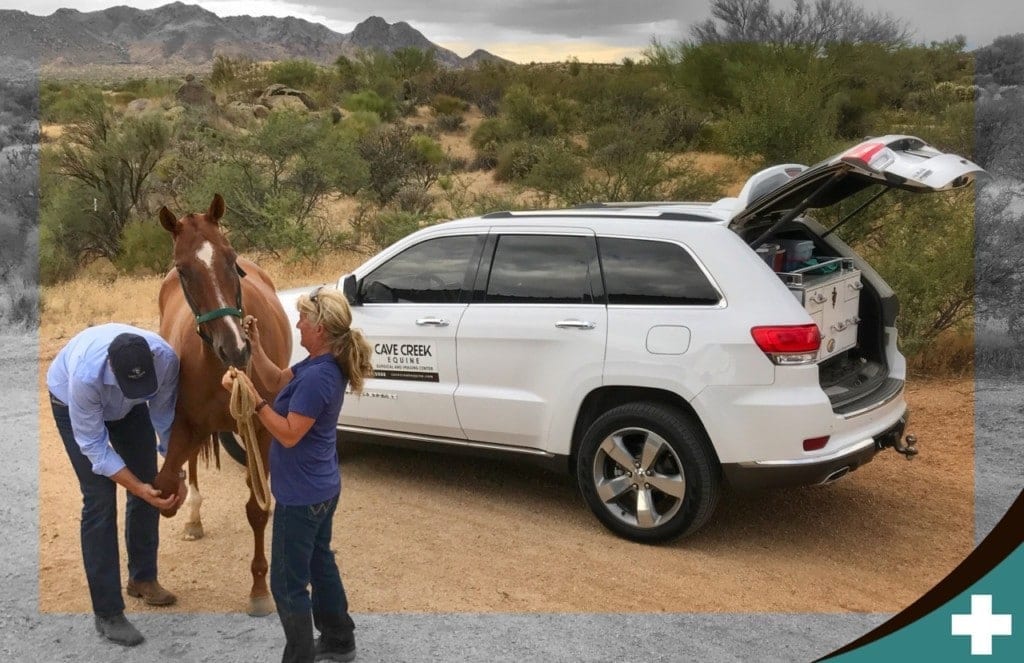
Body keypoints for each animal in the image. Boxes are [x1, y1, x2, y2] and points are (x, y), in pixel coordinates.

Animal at [150, 191, 292, 618]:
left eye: (231, 260)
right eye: (183, 271)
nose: (236, 348)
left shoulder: (261, 428)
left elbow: (257, 508)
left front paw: (260, 590)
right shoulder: (186, 425)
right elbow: (167, 481)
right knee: (196, 465)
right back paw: (194, 518)